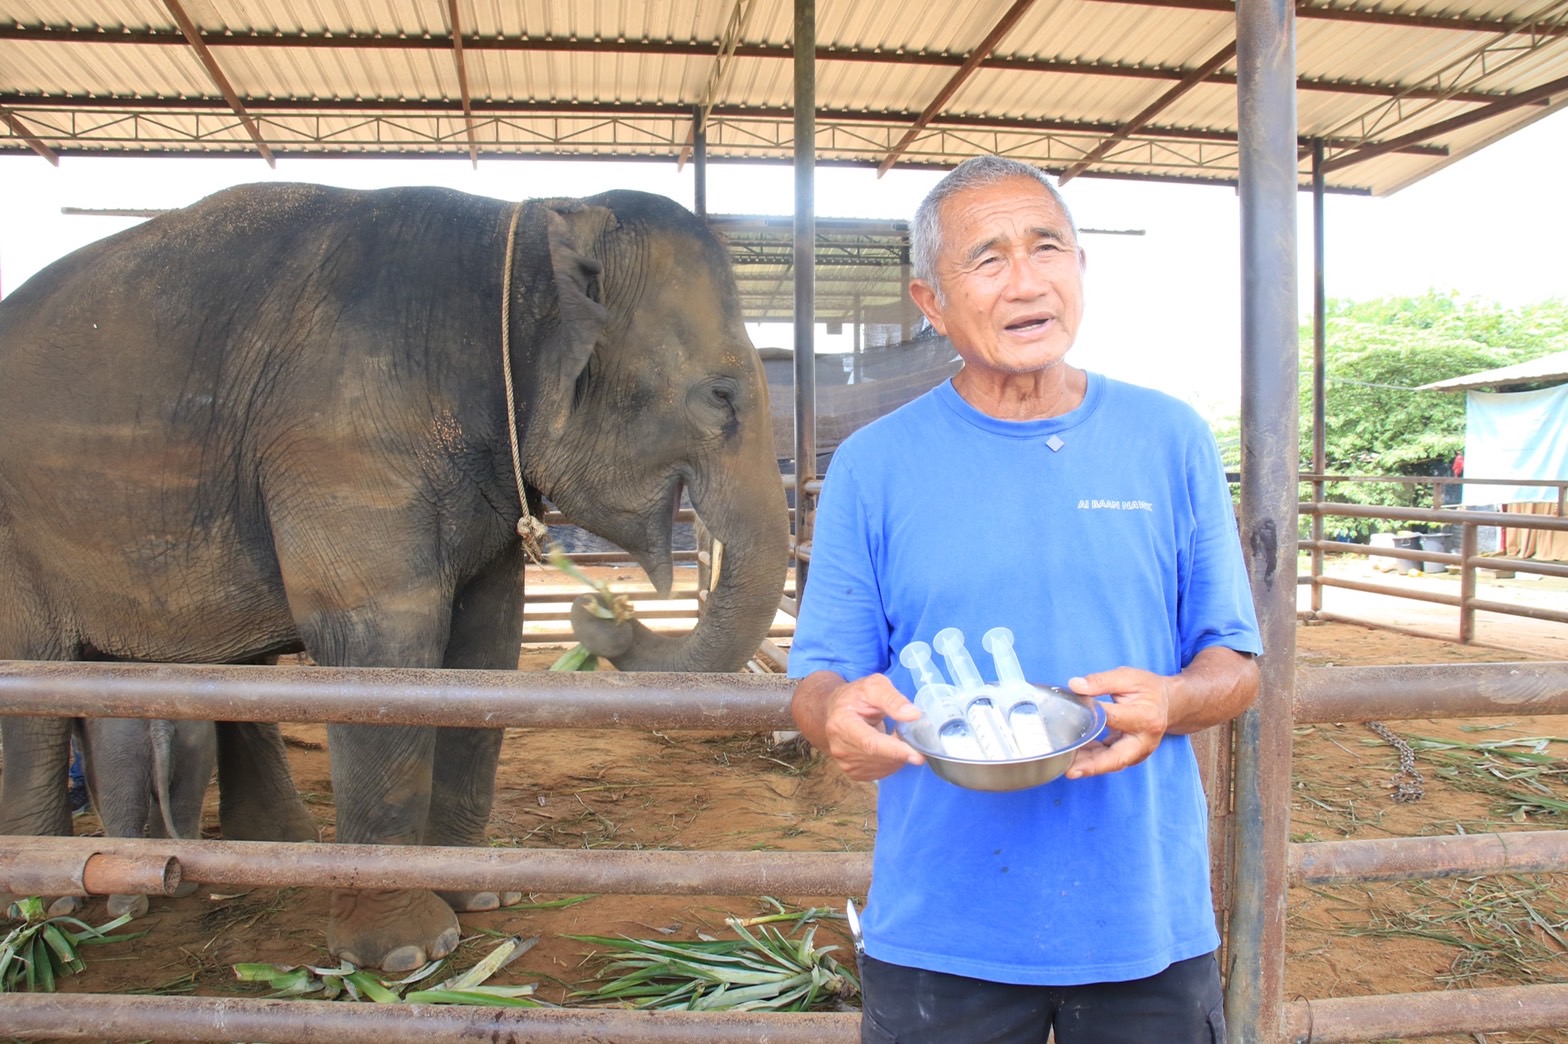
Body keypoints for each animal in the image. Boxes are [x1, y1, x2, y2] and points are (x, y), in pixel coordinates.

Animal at [0, 178, 784, 965]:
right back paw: (48, 905)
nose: (599, 608)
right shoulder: (344, 436)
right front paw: (407, 954)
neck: (522, 230)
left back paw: (273, 855)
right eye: (720, 396)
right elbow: (380, 644)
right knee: (33, 680)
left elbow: (486, 645)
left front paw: (483, 898)